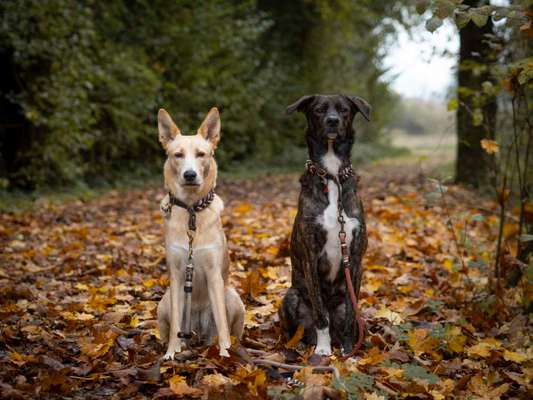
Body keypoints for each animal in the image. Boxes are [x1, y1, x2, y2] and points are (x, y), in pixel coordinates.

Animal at [155, 107, 244, 360]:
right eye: (178, 155)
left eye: (201, 154)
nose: (190, 175)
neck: (192, 210)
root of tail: (197, 332)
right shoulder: (176, 274)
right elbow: (175, 324)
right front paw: (170, 354)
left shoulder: (214, 274)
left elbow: (222, 325)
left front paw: (225, 354)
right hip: (163, 302)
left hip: (232, 296)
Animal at [278, 94, 370, 356]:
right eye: (319, 110)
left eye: (344, 110)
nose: (332, 121)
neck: (331, 174)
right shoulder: (311, 258)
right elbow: (321, 314)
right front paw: (323, 349)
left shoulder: (355, 259)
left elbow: (350, 318)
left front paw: (348, 350)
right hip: (290, 297)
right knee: (298, 329)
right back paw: (298, 345)